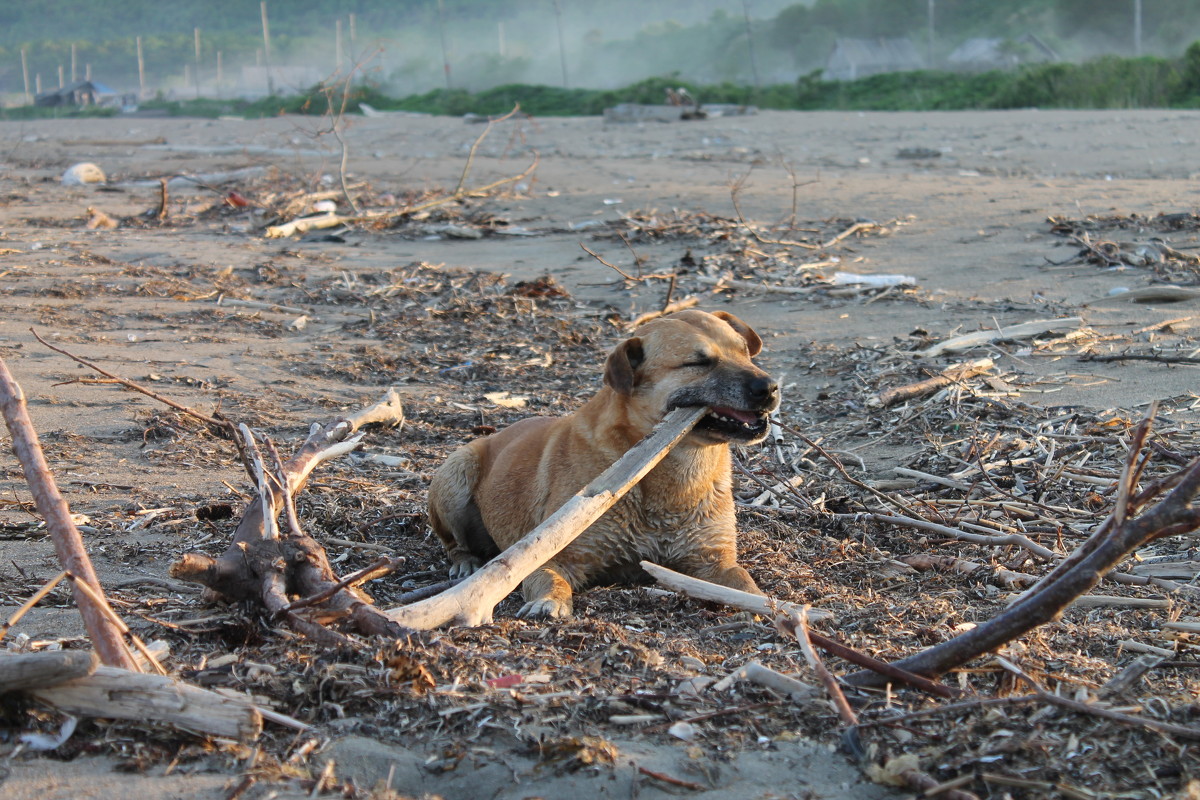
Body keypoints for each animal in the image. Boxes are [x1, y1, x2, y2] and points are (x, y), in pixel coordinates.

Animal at [427, 309, 782, 618]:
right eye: (698, 362)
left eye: (744, 352)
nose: (770, 388)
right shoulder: (555, 556)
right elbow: (550, 578)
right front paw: (548, 601)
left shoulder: (714, 561)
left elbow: (744, 585)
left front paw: (766, 607)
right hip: (456, 472)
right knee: (453, 541)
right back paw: (465, 561)